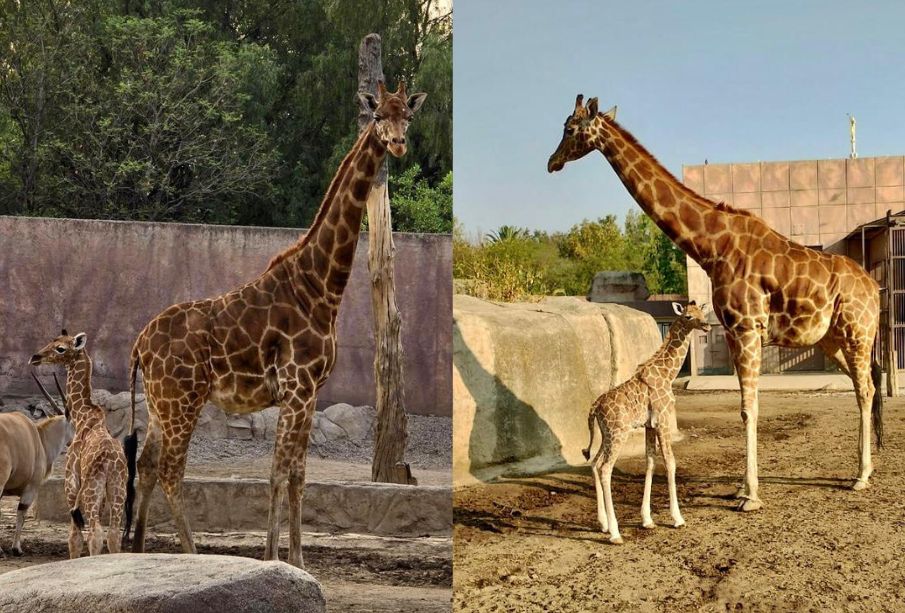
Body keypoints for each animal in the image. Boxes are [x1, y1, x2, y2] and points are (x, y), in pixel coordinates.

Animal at [30, 332, 134, 556]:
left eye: (60, 348)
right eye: (52, 341)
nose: (35, 357)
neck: (83, 416)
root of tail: (111, 461)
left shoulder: (71, 483)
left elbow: (74, 537)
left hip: (91, 490)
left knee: (95, 532)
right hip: (117, 489)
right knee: (113, 534)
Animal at [123, 80, 428, 564]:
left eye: (408, 116)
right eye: (379, 114)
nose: (398, 143)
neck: (320, 287)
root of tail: (139, 345)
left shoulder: (310, 394)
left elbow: (298, 475)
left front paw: (299, 561)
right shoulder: (297, 388)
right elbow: (278, 473)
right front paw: (273, 559)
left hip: (158, 405)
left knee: (149, 466)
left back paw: (138, 554)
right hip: (181, 401)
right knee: (171, 471)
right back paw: (192, 555)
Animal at [548, 93, 880, 510]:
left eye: (570, 128)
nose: (552, 162)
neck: (712, 247)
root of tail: (875, 287)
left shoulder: (745, 327)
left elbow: (748, 409)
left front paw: (750, 495)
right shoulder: (737, 332)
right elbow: (746, 407)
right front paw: (741, 488)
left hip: (857, 333)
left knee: (866, 390)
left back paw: (862, 477)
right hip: (832, 340)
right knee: (862, 389)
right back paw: (862, 470)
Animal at [584, 304, 708, 544]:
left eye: (702, 313)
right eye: (689, 316)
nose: (706, 325)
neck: (668, 374)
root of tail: (595, 407)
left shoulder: (650, 425)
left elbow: (650, 463)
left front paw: (647, 519)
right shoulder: (662, 420)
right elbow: (670, 462)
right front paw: (678, 518)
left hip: (607, 434)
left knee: (594, 462)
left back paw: (603, 524)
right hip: (618, 433)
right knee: (605, 468)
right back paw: (615, 533)